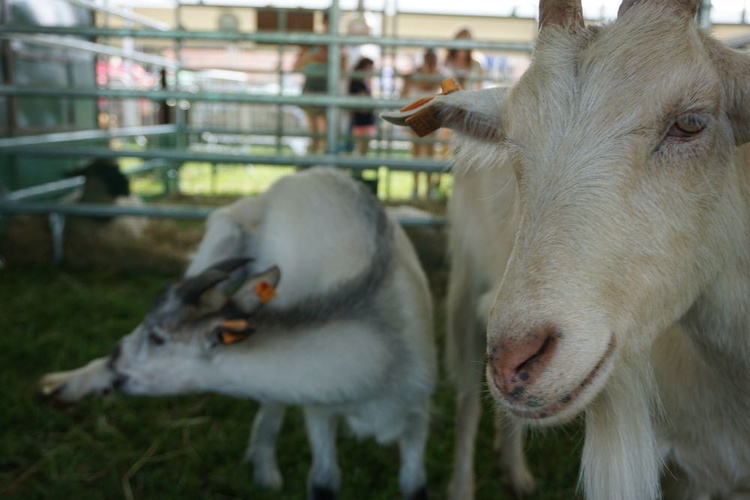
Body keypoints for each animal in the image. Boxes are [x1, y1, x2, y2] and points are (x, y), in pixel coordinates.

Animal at [41, 167, 438, 500]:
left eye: (157, 339)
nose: (115, 359)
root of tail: (309, 173)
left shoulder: (417, 414)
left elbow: (414, 485)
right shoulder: (320, 412)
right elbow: (324, 482)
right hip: (223, 237)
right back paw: (61, 385)